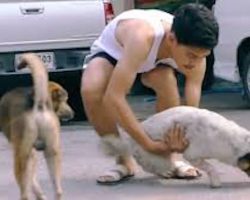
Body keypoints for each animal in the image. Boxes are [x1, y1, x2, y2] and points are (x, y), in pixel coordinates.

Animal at [0, 53, 73, 200]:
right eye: (64, 100)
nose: (73, 113)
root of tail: (39, 104)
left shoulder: (27, 152)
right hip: (52, 152)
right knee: (58, 190)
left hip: (21, 157)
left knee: (25, 194)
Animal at [100, 106, 250, 188]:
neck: (234, 142)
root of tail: (130, 138)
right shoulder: (193, 156)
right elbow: (211, 168)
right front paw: (216, 182)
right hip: (157, 159)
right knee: (150, 166)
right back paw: (165, 171)